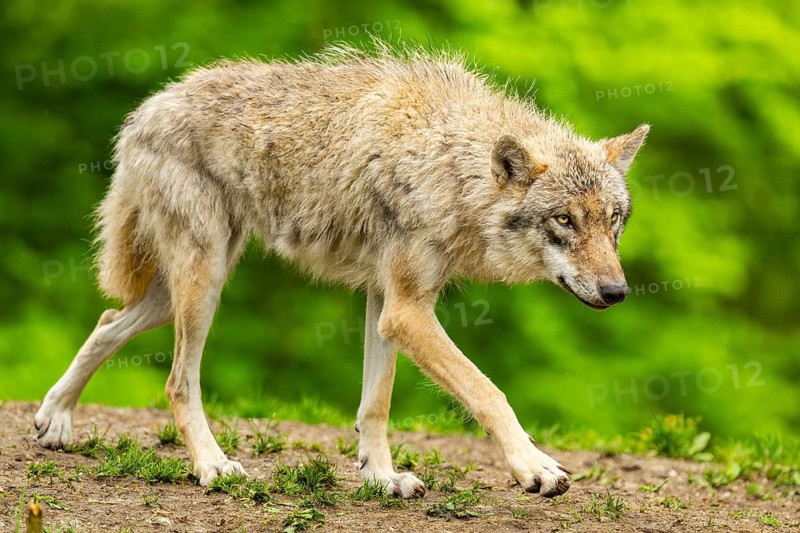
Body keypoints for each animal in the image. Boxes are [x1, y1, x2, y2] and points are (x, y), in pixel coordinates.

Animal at [35, 44, 648, 498]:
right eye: (565, 220)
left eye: (613, 221)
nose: (618, 291)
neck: (449, 164)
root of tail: (148, 108)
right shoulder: (407, 311)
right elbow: (487, 391)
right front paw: (534, 467)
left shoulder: (388, 304)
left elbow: (375, 403)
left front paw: (381, 478)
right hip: (202, 285)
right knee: (176, 382)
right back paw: (212, 466)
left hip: (183, 290)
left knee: (107, 321)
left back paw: (54, 420)